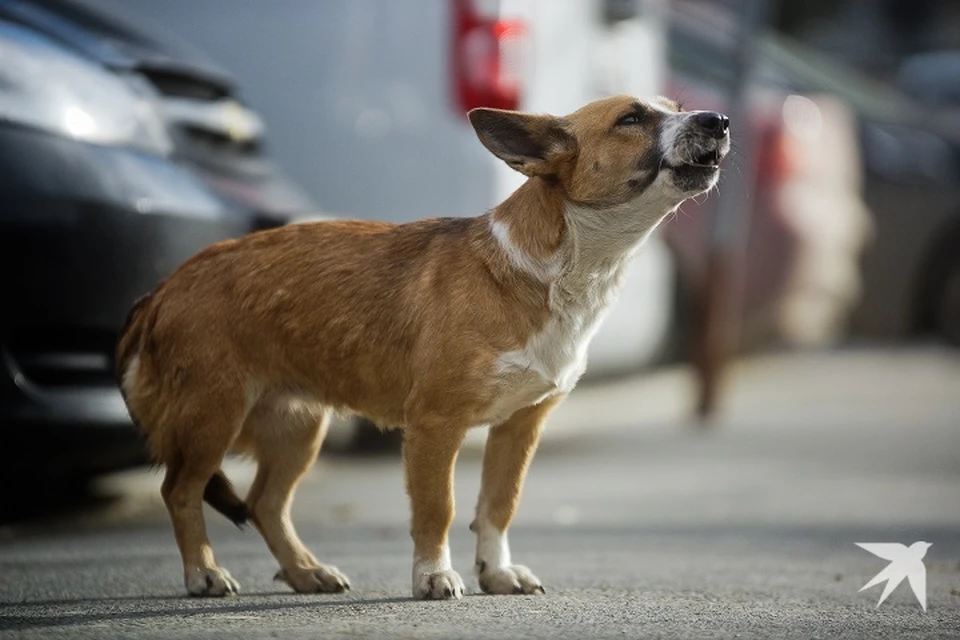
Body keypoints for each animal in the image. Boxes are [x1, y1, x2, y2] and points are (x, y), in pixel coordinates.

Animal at [116, 95, 728, 600]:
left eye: (676, 108)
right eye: (631, 118)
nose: (717, 119)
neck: (560, 270)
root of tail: (164, 287)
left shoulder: (520, 426)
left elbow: (498, 505)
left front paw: (495, 572)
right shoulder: (436, 426)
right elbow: (440, 508)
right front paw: (434, 576)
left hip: (297, 426)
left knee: (266, 503)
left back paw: (305, 571)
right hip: (211, 419)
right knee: (181, 490)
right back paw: (204, 572)